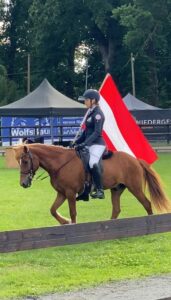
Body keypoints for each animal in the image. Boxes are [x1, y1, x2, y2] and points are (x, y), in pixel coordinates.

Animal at [13, 144, 171, 225]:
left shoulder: (70, 193)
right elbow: (52, 210)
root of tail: (136, 160)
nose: (23, 183)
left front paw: (70, 224)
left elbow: (73, 212)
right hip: (116, 189)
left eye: (25, 161)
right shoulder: (62, 193)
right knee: (116, 209)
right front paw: (64, 222)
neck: (61, 163)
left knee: (147, 204)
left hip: (135, 188)